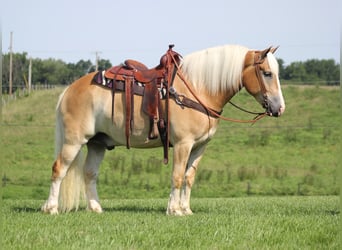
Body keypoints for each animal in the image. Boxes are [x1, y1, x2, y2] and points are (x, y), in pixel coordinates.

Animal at [41, 44, 284, 215]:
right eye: (267, 73)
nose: (279, 108)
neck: (198, 89)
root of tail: (69, 89)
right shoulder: (183, 144)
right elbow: (177, 176)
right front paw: (174, 210)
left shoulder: (200, 147)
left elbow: (188, 178)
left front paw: (186, 209)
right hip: (74, 141)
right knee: (58, 169)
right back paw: (51, 208)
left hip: (97, 144)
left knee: (89, 173)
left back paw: (95, 208)